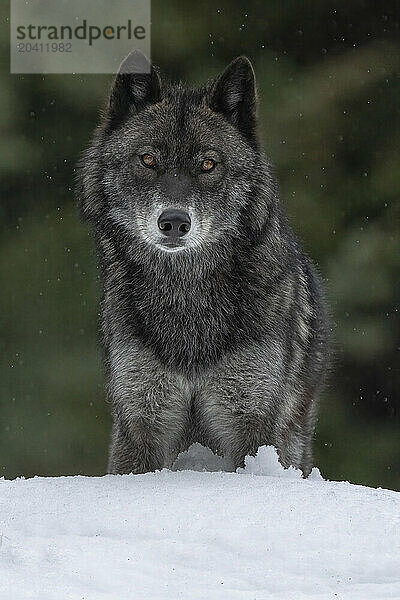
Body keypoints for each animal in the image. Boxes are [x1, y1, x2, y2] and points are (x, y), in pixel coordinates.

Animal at [77, 49, 328, 476]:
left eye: (208, 164)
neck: (186, 297)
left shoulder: (252, 424)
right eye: (148, 160)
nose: (175, 222)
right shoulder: (142, 420)